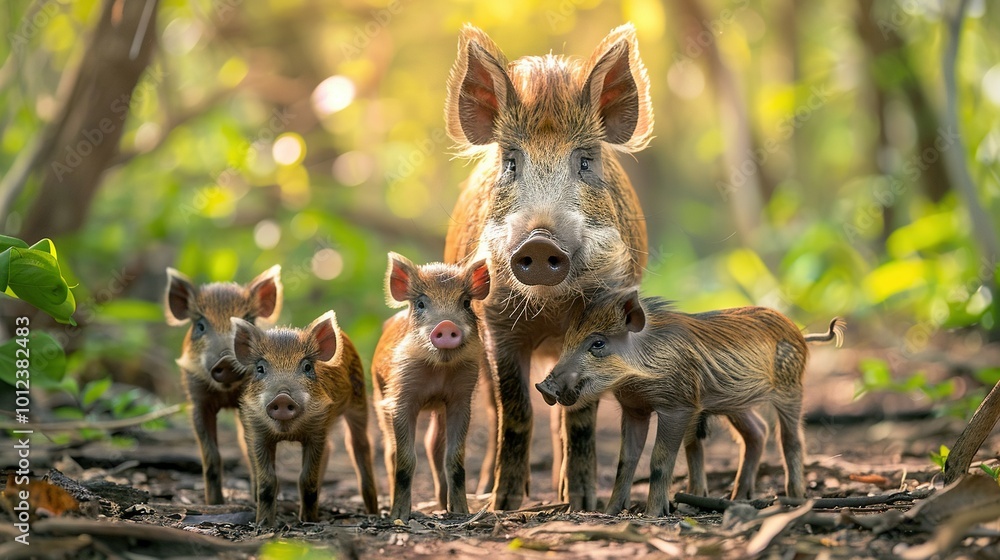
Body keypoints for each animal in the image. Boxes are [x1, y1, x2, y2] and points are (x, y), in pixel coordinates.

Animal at [164, 265, 282, 505]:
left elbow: (250, 450)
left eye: (248, 321)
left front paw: (254, 502)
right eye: (201, 326)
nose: (227, 361)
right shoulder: (198, 402)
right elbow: (211, 454)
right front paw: (214, 503)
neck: (225, 395)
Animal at [231, 311, 378, 526]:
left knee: (360, 445)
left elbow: (306, 479)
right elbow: (268, 482)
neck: (289, 433)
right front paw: (263, 524)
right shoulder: (257, 433)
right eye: (260, 369)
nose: (282, 398)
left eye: (307, 367)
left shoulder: (317, 433)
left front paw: (308, 521)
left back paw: (373, 512)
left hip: (359, 403)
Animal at [371, 253, 491, 521]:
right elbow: (405, 460)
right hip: (378, 394)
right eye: (421, 304)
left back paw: (442, 507)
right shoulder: (401, 398)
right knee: (390, 452)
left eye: (466, 303)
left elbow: (455, 458)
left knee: (433, 444)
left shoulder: (460, 399)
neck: (439, 372)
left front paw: (461, 513)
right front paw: (399, 517)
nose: (446, 326)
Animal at [442, 23, 653, 511]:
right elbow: (516, 411)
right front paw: (503, 505)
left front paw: (583, 504)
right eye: (511, 161)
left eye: (585, 161)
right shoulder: (496, 326)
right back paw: (490, 491)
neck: (549, 310)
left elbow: (578, 414)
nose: (539, 242)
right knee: (495, 411)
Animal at [535, 290, 845, 516]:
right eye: (567, 341)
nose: (543, 386)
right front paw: (610, 513)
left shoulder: (678, 407)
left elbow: (660, 460)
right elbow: (626, 460)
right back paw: (737, 498)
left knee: (790, 438)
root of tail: (800, 333)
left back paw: (795, 497)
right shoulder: (635, 410)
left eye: (598, 344)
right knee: (757, 432)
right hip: (736, 403)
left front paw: (652, 515)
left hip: (790, 388)